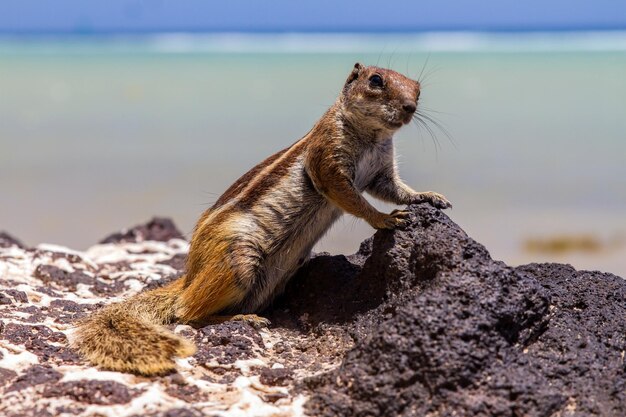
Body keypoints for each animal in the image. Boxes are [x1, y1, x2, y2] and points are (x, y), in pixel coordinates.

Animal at [74, 63, 448, 376]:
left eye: (418, 90)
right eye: (376, 80)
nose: (410, 107)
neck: (372, 136)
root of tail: (190, 275)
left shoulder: (380, 172)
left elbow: (394, 189)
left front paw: (428, 196)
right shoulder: (328, 162)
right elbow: (353, 199)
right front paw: (385, 219)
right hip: (239, 261)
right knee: (187, 313)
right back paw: (244, 318)